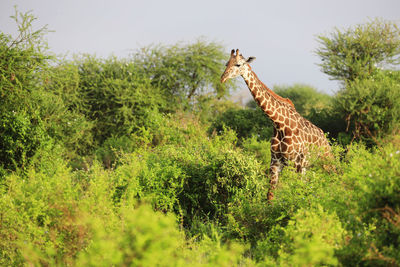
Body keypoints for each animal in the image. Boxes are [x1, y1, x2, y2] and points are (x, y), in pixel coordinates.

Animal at [220, 49, 330, 202]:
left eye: (238, 64)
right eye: (226, 63)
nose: (222, 78)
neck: (278, 123)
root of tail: (325, 138)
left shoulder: (295, 163)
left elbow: (295, 194)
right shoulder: (276, 163)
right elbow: (270, 196)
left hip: (325, 161)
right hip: (307, 167)